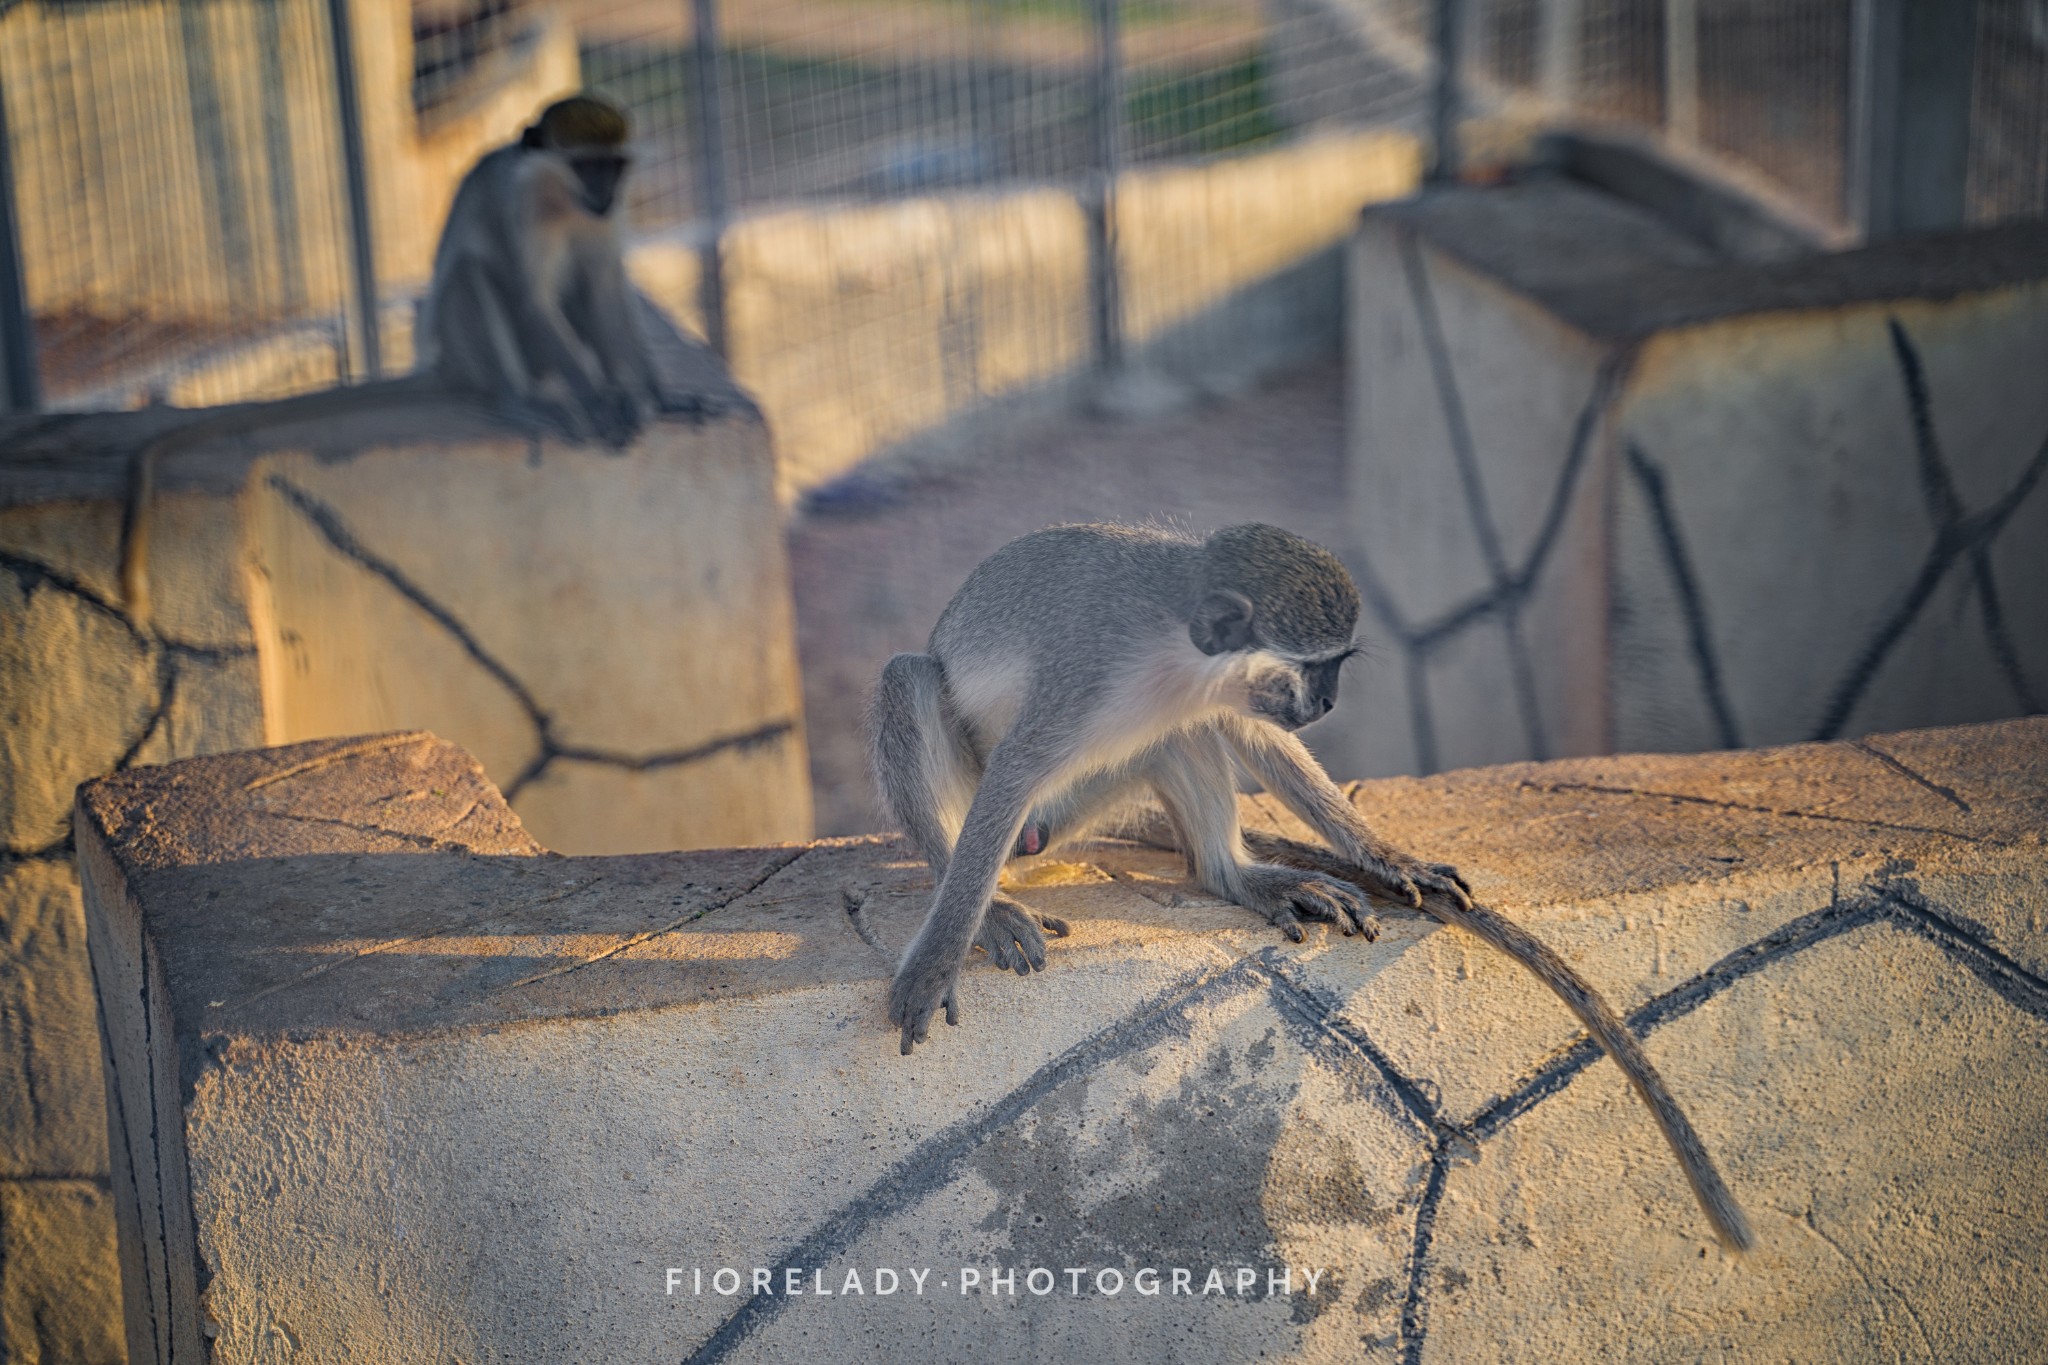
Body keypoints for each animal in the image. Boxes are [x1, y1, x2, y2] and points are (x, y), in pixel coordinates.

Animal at [856, 519, 1753, 1252]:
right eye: (1313, 666)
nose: (1325, 702)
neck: (1174, 650)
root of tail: (1048, 836)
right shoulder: (1083, 680)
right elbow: (1014, 767)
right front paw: (943, 954)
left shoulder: (1218, 689)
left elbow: (1247, 732)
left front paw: (1387, 855)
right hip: (1019, 806)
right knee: (909, 682)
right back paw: (990, 898)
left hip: (1086, 800)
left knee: (1181, 737)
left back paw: (1240, 876)